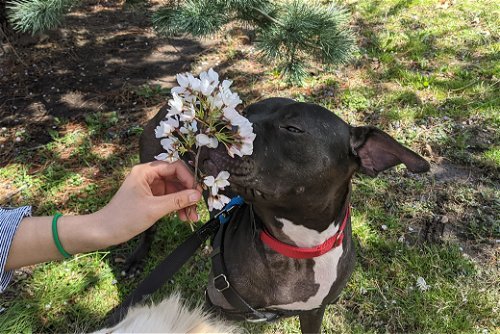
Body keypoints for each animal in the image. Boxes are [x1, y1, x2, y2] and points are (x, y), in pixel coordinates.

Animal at [137, 97, 430, 334]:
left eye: (293, 129)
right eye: (246, 111)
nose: (216, 123)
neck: (298, 247)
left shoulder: (314, 312)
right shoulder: (214, 309)